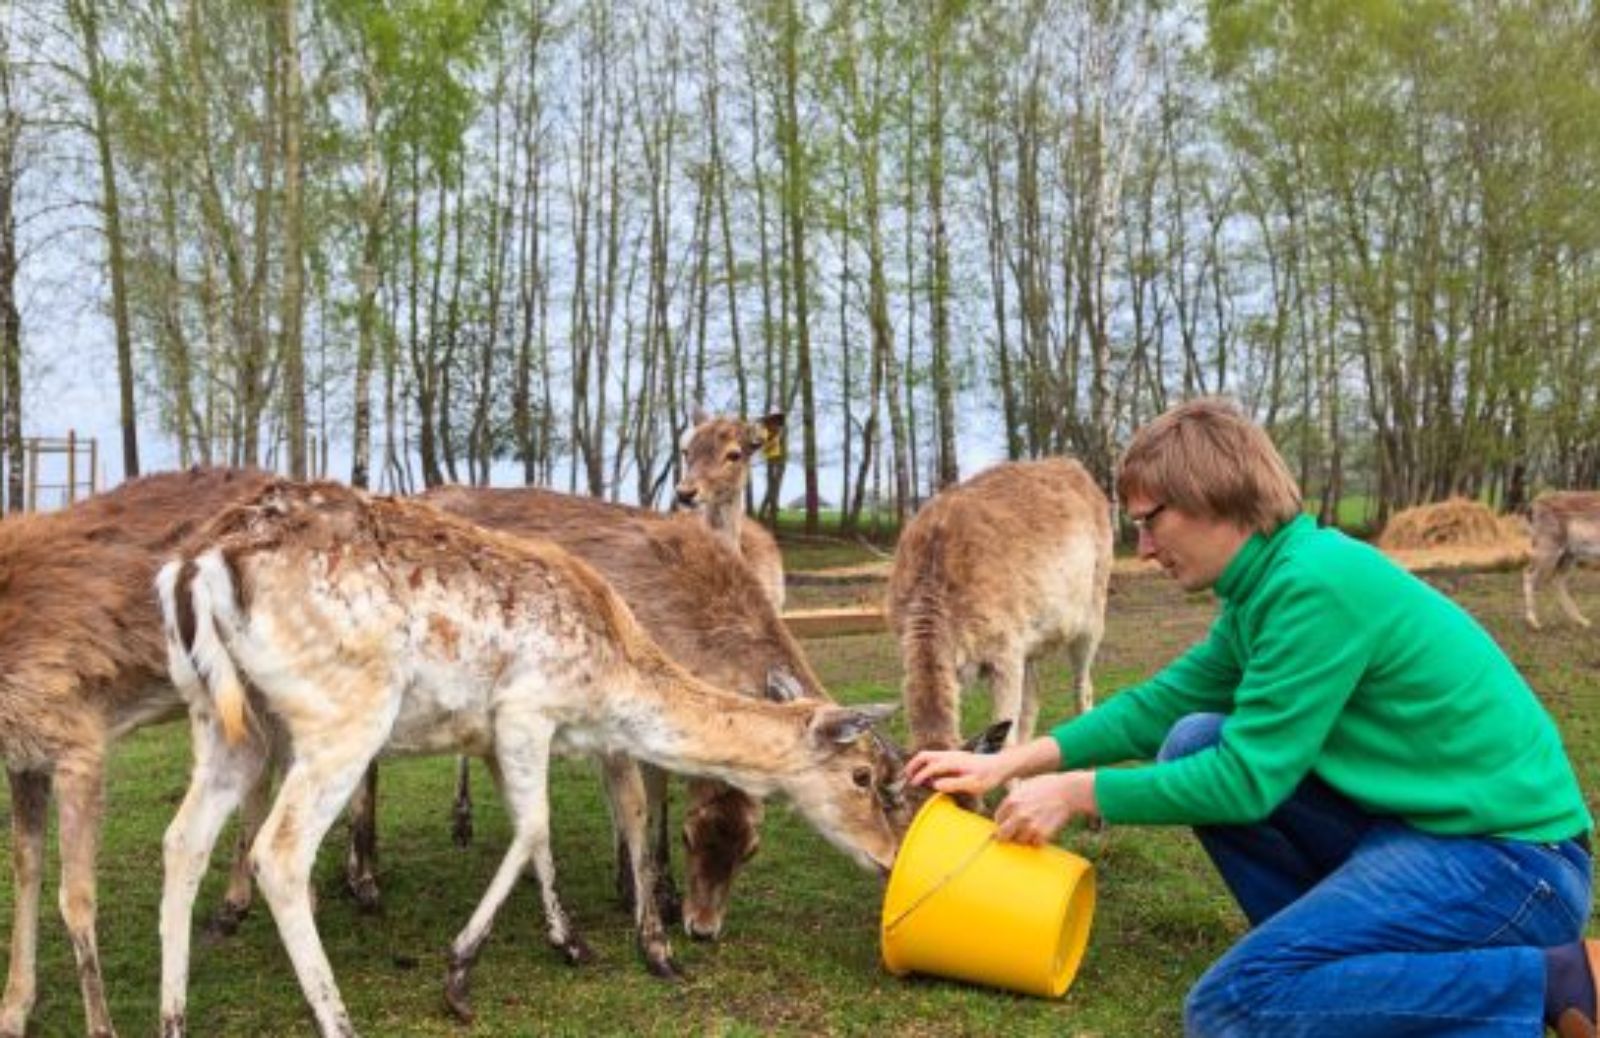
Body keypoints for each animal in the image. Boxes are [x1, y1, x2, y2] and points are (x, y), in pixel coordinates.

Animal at [0, 467, 272, 1036]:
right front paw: (13, 1009)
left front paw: (101, 1026)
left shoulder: (77, 739)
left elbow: (76, 897)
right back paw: (235, 903)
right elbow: (25, 869)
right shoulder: (21, 753)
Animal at [156, 479, 908, 1036]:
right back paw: (339, 1014)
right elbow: (547, 824)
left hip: (222, 718)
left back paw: (173, 1017)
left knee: (182, 838)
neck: (613, 676)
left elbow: (538, 829)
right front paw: (462, 974)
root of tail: (198, 566)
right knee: (280, 851)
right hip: (341, 712)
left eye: (750, 850)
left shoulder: (497, 736)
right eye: (864, 777)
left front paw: (568, 939)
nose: (888, 858)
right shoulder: (525, 709)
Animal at [889, 460, 1113, 777]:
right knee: (1034, 698)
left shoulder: (1006, 650)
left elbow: (1004, 743)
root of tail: (1076, 466)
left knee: (1083, 686)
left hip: (1094, 608)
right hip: (1031, 641)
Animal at [1523, 489, 1600, 626]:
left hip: (1568, 554)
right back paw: (1534, 622)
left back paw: (1582, 620)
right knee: (1529, 574)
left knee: (1557, 580)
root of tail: (1533, 505)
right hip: (1548, 548)